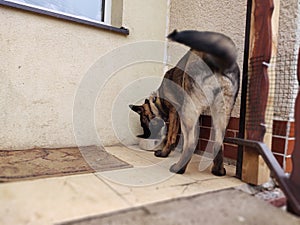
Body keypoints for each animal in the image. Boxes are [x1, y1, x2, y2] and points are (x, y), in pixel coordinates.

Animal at [129, 29, 239, 175]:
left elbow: (171, 136)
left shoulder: (174, 112)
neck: (158, 100)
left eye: (143, 123)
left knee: (191, 143)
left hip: (189, 111)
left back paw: (179, 168)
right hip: (222, 112)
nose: (145, 136)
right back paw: (218, 170)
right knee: (218, 143)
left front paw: (164, 153)